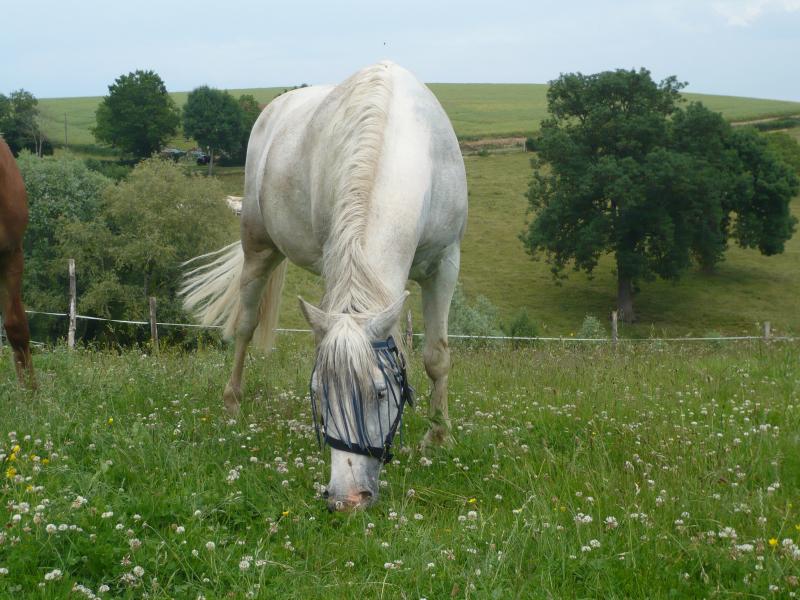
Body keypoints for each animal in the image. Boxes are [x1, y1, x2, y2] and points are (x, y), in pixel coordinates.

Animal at [181, 62, 466, 510]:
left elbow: (436, 357)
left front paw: (439, 437)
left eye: (381, 393)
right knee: (245, 325)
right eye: (319, 393)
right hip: (258, 247)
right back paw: (232, 403)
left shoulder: (445, 264)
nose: (346, 499)